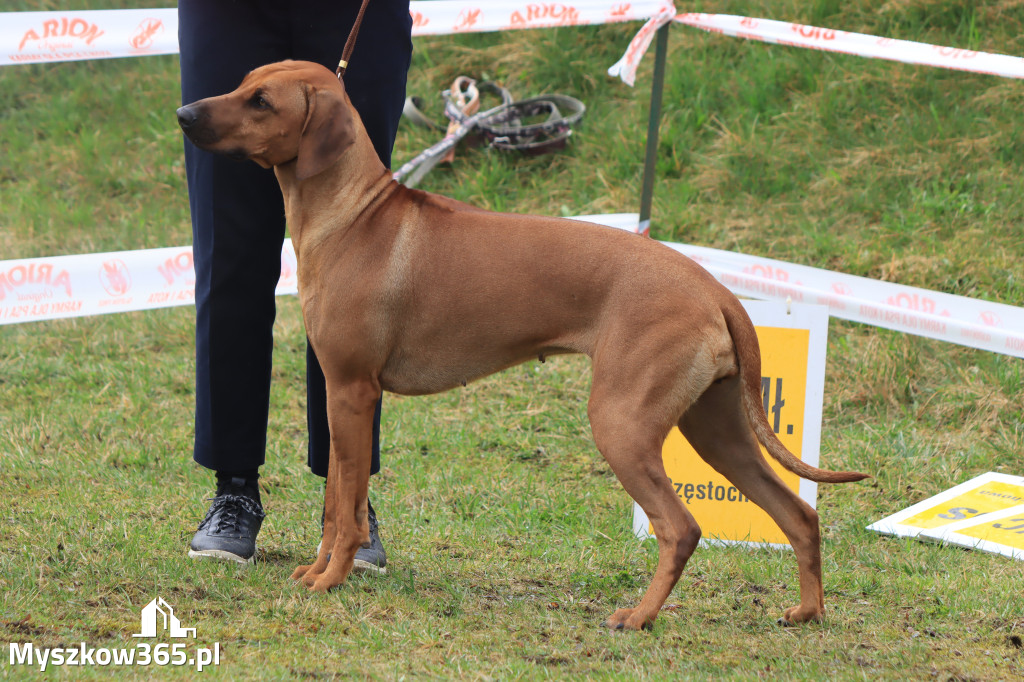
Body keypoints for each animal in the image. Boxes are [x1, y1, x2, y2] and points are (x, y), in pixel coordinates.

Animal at [176, 61, 864, 630]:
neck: (353, 214)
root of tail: (714, 288)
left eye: (261, 101)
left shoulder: (351, 392)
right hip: (715, 427)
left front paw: (331, 579)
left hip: (622, 422)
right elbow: (334, 499)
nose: (185, 114)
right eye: (242, 83)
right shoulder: (341, 395)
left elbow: (344, 508)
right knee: (799, 514)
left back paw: (638, 617)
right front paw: (320, 570)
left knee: (682, 527)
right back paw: (806, 612)